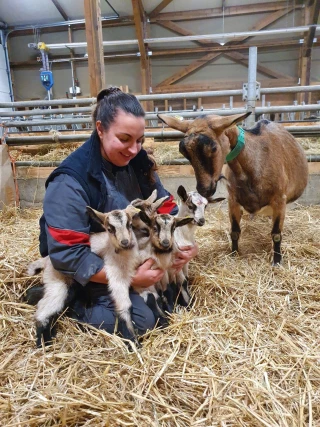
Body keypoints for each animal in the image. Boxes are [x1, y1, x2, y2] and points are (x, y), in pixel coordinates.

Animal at [159, 112, 308, 264]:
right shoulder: (233, 200)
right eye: (184, 152)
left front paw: (277, 261)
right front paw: (234, 254)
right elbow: (235, 232)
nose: (204, 189)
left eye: (213, 148)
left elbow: (276, 234)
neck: (257, 161)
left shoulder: (279, 200)